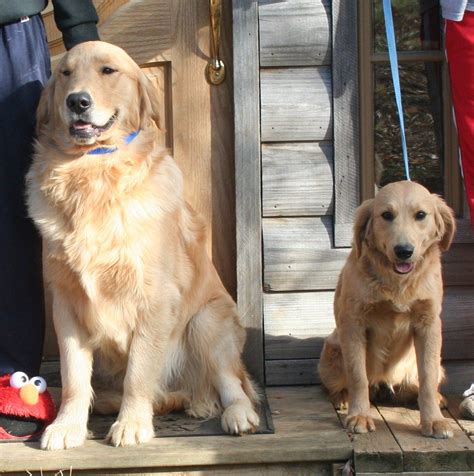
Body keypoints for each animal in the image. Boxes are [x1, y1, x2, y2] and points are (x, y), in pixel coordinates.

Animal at [25, 41, 260, 450]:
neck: (93, 171)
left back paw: (238, 415)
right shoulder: (66, 301)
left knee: (234, 384)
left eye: (108, 70)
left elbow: (138, 372)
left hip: (207, 322)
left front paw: (132, 423)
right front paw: (67, 426)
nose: (77, 101)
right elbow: (73, 378)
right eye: (66, 73)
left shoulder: (153, 299)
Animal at [318, 181, 456, 438]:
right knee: (342, 383)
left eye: (420, 215)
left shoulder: (429, 324)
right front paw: (359, 415)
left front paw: (433, 420)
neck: (397, 282)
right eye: (386, 215)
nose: (403, 250)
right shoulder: (353, 323)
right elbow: (358, 376)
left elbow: (428, 377)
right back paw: (343, 397)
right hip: (332, 354)